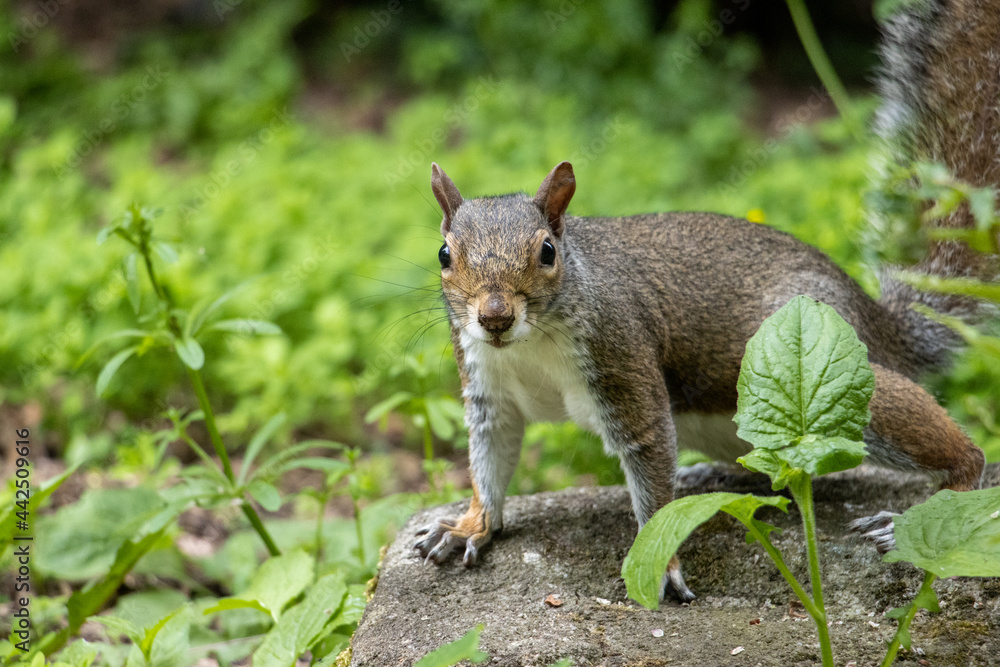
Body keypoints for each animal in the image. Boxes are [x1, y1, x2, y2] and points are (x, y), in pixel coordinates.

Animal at [412, 0, 992, 604]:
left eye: (547, 252)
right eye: (444, 254)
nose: (495, 316)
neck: (530, 345)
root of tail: (878, 320)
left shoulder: (623, 363)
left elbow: (650, 472)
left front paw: (661, 564)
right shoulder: (488, 389)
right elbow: (489, 461)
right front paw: (469, 525)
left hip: (823, 371)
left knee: (948, 450)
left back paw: (937, 501)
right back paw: (711, 476)